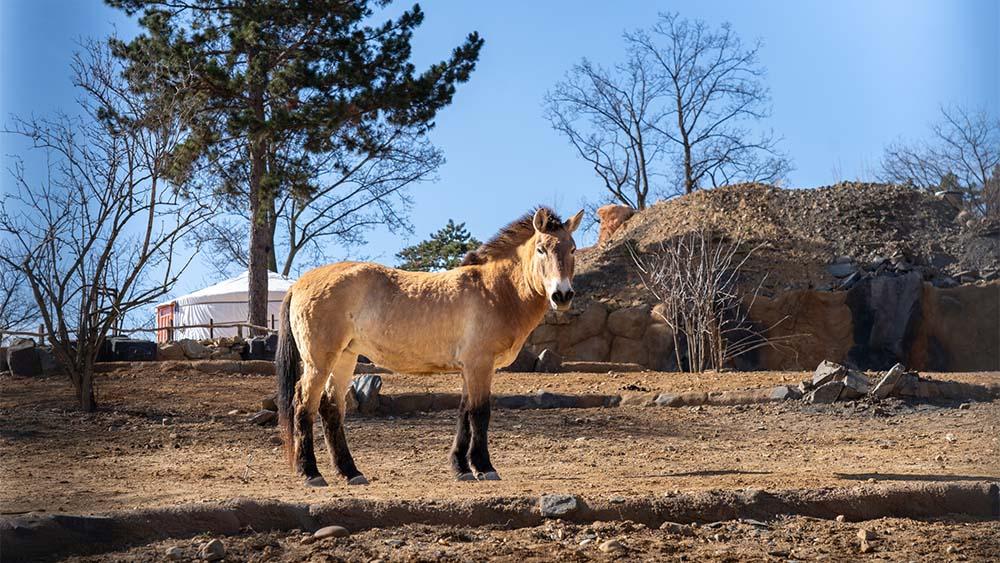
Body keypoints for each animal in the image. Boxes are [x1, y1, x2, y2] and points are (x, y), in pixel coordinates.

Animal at [276, 207, 584, 484]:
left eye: (572, 249)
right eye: (542, 249)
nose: (562, 295)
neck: (494, 290)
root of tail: (300, 283)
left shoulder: (469, 369)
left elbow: (464, 413)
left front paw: (461, 468)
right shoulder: (480, 365)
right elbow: (480, 413)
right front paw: (484, 467)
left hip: (345, 357)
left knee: (331, 407)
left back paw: (351, 473)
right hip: (320, 361)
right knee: (304, 404)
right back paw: (311, 473)